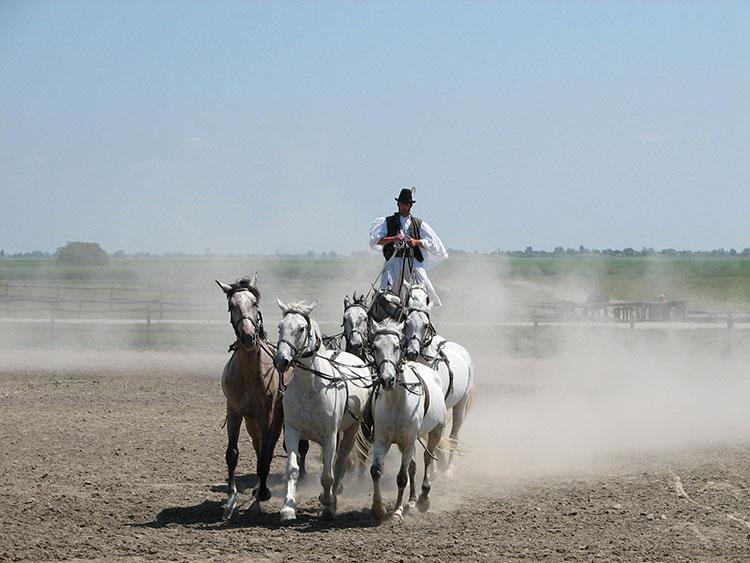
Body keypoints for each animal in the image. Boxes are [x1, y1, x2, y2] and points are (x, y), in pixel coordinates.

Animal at [217, 276, 308, 516]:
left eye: (254, 303)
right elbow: (233, 454)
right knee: (259, 446)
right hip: (252, 421)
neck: (250, 374)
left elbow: (266, 456)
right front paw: (231, 500)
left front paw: (263, 493)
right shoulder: (234, 411)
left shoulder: (268, 416)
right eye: (231, 306)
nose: (248, 337)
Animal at [274, 300, 374, 524]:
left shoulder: (330, 435)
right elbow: (292, 470)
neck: (310, 387)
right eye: (280, 326)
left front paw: (328, 505)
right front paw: (288, 508)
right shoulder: (293, 431)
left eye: (301, 328)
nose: (281, 360)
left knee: (340, 463)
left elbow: (329, 474)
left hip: (351, 430)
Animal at [370, 320, 446, 524]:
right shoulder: (382, 440)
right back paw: (411, 500)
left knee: (427, 458)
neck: (397, 401)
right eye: (375, 347)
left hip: (436, 431)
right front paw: (378, 509)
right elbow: (376, 471)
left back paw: (423, 498)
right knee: (413, 466)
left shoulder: (408, 441)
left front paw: (397, 512)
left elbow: (401, 478)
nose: (387, 379)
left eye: (396, 346)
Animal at [406, 284, 476, 474]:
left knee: (453, 435)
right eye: (406, 322)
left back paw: (448, 468)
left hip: (461, 403)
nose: (411, 352)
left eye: (425, 324)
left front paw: (437, 467)